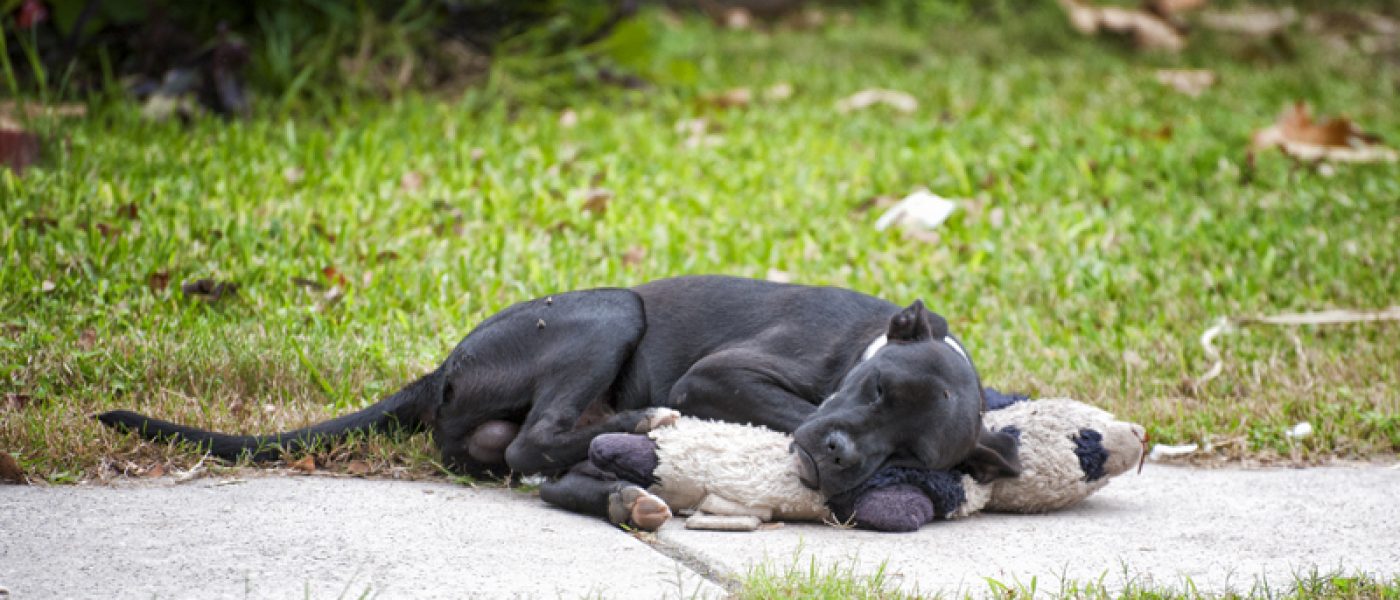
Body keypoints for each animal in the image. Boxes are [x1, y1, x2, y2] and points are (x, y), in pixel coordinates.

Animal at [98, 274, 1019, 517]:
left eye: (912, 450)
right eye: (876, 388)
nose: (838, 458)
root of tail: (445, 367)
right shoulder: (720, 376)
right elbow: (789, 412)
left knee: (525, 451)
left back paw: (624, 464)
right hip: (610, 312)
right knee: (534, 440)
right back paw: (642, 425)